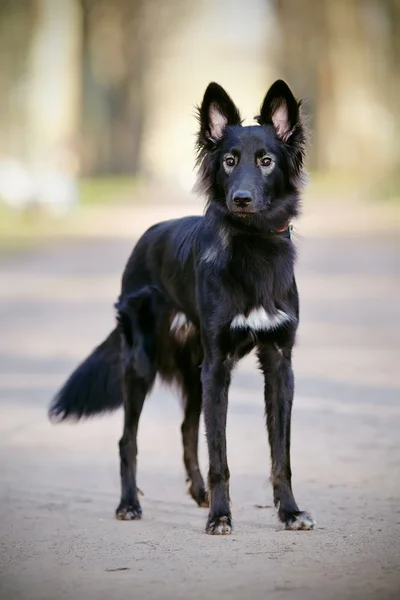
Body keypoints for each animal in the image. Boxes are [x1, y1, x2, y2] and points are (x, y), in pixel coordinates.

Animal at [48, 78, 316, 536]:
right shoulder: (218, 365)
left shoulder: (279, 362)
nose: (241, 198)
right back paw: (129, 504)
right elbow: (219, 454)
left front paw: (290, 512)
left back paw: (197, 491)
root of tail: (146, 237)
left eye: (266, 161)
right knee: (128, 439)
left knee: (188, 428)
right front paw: (221, 517)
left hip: (195, 371)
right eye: (229, 161)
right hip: (143, 363)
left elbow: (280, 454)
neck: (253, 244)